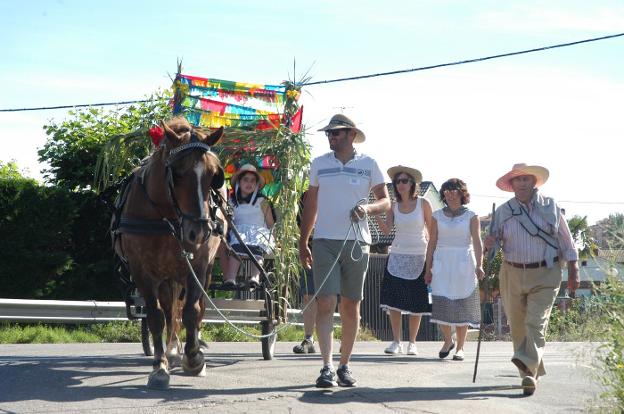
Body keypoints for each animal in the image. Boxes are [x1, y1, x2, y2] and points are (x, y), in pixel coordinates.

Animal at [116, 115, 225, 388]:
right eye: (177, 172)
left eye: (214, 175)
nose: (199, 232)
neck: (166, 217)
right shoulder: (142, 271)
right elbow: (156, 316)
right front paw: (159, 366)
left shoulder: (197, 265)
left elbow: (191, 312)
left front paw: (194, 358)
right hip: (166, 276)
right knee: (168, 309)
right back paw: (172, 349)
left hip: (203, 271)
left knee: (196, 307)